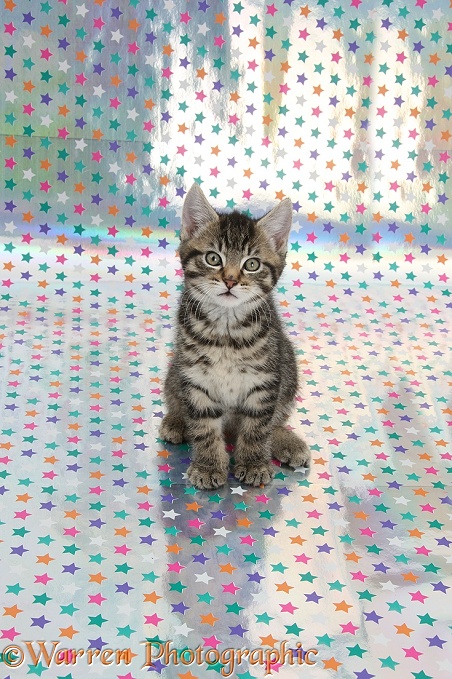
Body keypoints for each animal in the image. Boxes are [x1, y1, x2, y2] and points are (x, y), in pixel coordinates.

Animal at [159, 183, 310, 486]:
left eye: (252, 264)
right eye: (213, 258)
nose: (229, 280)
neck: (226, 331)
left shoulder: (265, 380)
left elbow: (258, 426)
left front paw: (253, 463)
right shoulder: (195, 377)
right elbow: (204, 427)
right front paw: (208, 466)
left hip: (287, 366)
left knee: (275, 420)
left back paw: (286, 441)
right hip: (176, 369)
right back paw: (176, 421)